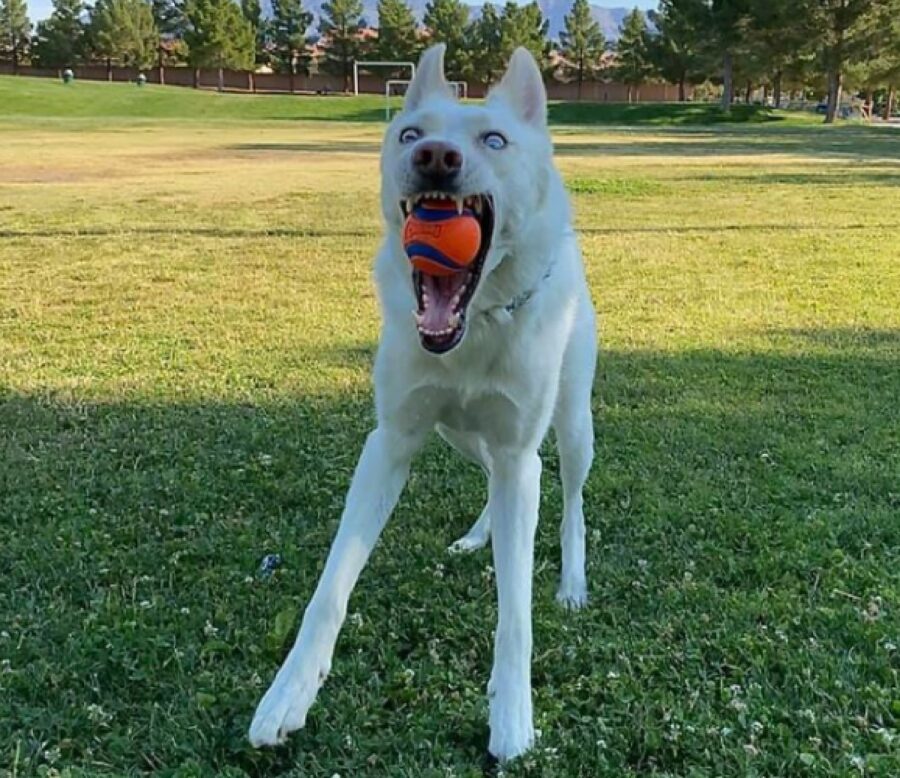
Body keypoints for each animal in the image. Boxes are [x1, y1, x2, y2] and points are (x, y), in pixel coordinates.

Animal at [248, 45, 596, 760]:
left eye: (495, 140)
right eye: (409, 134)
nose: (436, 156)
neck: (476, 324)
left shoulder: (521, 452)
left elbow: (515, 609)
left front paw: (511, 716)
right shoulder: (390, 444)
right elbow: (330, 587)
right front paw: (289, 693)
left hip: (575, 424)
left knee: (571, 497)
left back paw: (572, 582)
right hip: (455, 433)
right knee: (491, 477)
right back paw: (479, 533)